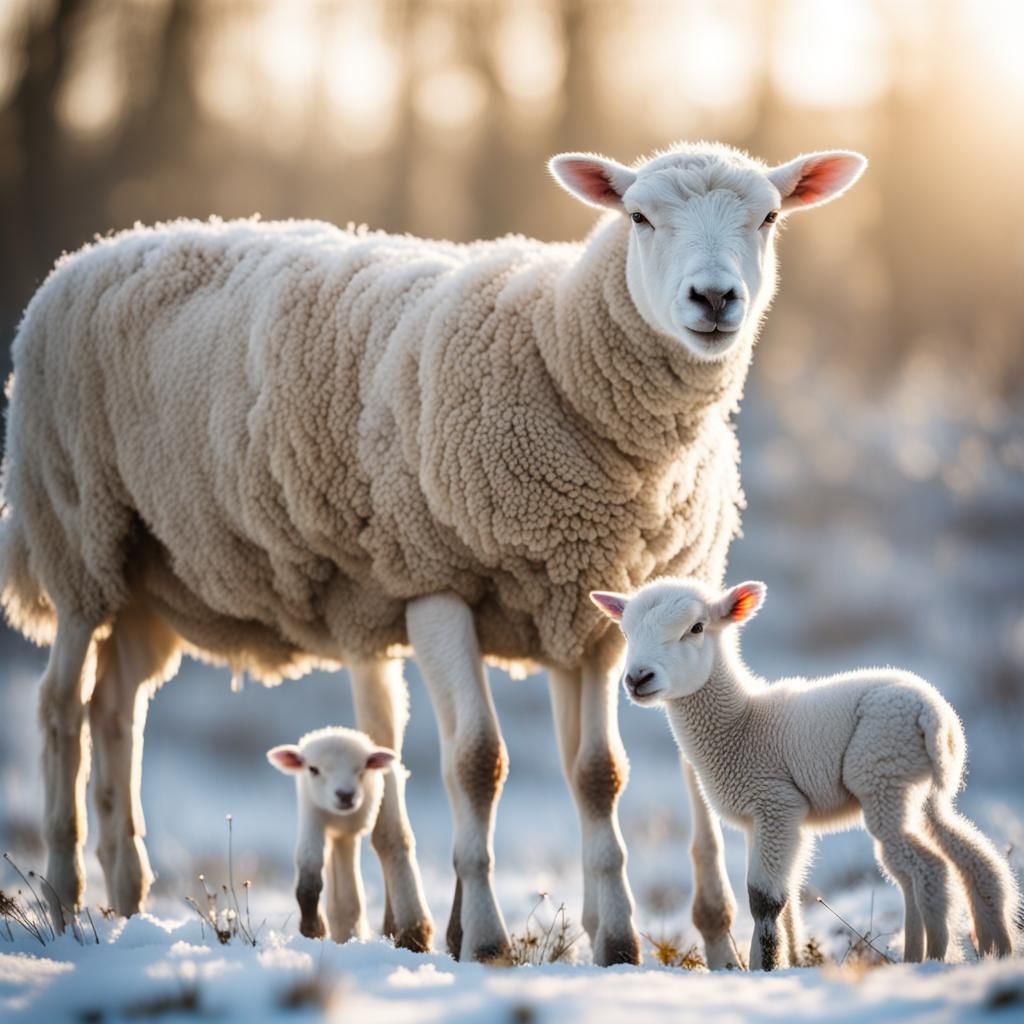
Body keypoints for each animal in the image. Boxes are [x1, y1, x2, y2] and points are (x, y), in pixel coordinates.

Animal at [267, 726, 397, 942]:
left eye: (362, 769)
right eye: (313, 769)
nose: (345, 795)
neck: (338, 817)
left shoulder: (349, 833)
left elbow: (349, 899)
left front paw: (346, 934)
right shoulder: (313, 814)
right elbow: (309, 861)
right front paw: (312, 928)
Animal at [591, 578, 1019, 969]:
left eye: (696, 628)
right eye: (625, 633)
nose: (637, 678)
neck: (742, 722)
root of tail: (932, 715)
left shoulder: (776, 802)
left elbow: (764, 901)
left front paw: (765, 967)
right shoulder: (762, 820)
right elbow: (789, 897)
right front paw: (789, 959)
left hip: (883, 775)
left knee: (926, 868)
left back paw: (932, 957)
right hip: (924, 787)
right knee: (971, 859)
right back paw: (989, 948)